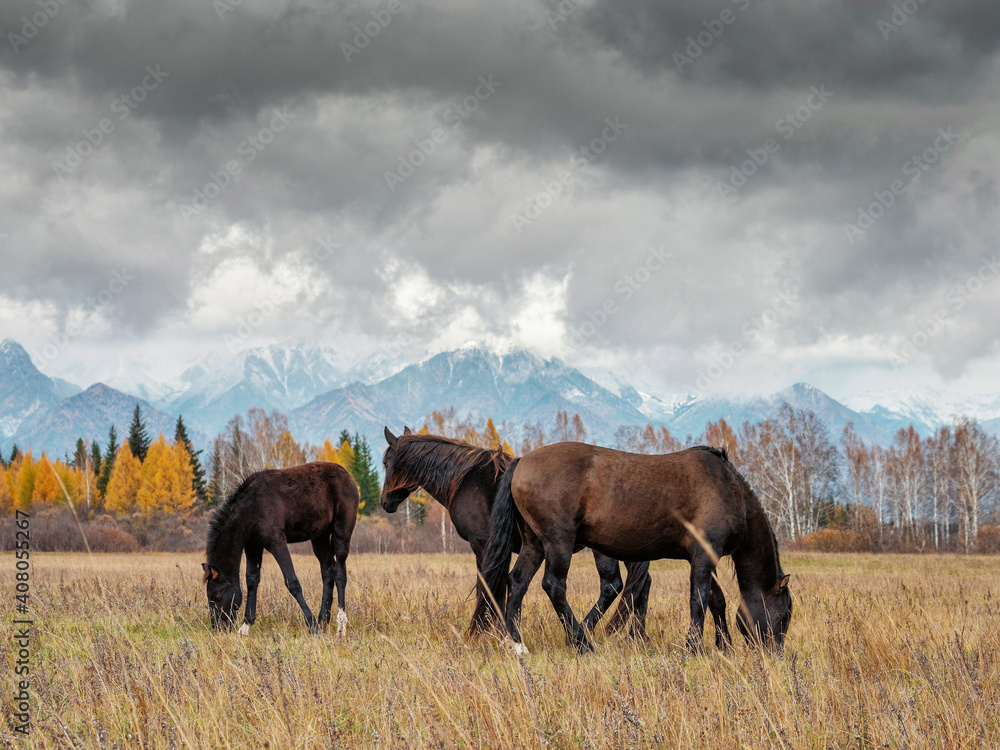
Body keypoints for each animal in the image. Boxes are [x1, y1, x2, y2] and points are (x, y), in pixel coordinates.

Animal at [203, 461, 359, 635]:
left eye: (216, 596)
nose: (218, 628)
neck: (251, 508)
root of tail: (347, 475)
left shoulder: (276, 542)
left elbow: (292, 582)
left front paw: (311, 625)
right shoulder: (253, 545)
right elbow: (252, 580)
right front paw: (246, 625)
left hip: (341, 532)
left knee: (340, 573)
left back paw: (340, 625)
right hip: (320, 536)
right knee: (327, 572)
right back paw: (323, 620)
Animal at [380, 427, 652, 636]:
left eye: (385, 462)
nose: (385, 502)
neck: (465, 479)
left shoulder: (483, 546)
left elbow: (489, 586)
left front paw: (489, 630)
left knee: (613, 585)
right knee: (640, 583)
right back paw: (635, 636)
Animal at [478, 443, 792, 654]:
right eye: (784, 615)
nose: (776, 654)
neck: (727, 488)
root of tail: (521, 462)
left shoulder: (708, 557)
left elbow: (717, 601)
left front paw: (722, 645)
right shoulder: (704, 557)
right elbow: (699, 600)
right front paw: (693, 646)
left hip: (534, 544)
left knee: (517, 583)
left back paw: (517, 643)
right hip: (558, 543)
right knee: (553, 586)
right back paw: (581, 643)